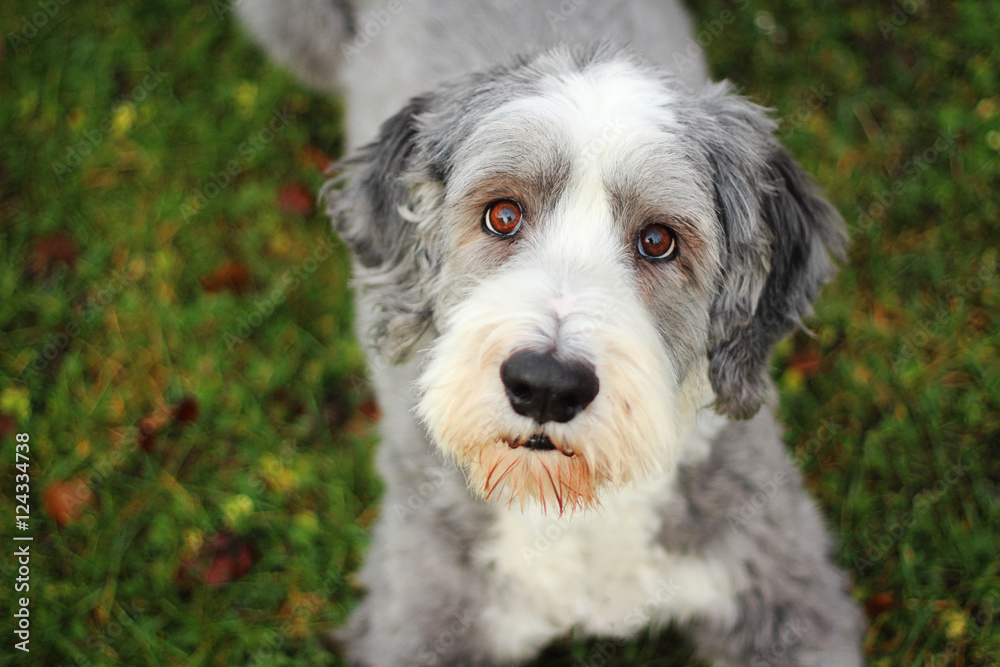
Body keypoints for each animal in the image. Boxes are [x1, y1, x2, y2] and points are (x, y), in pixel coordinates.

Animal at [236, 2, 868, 664]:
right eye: (502, 214)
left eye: (659, 239)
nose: (544, 386)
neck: (576, 506)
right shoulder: (419, 612)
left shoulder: (786, 591)